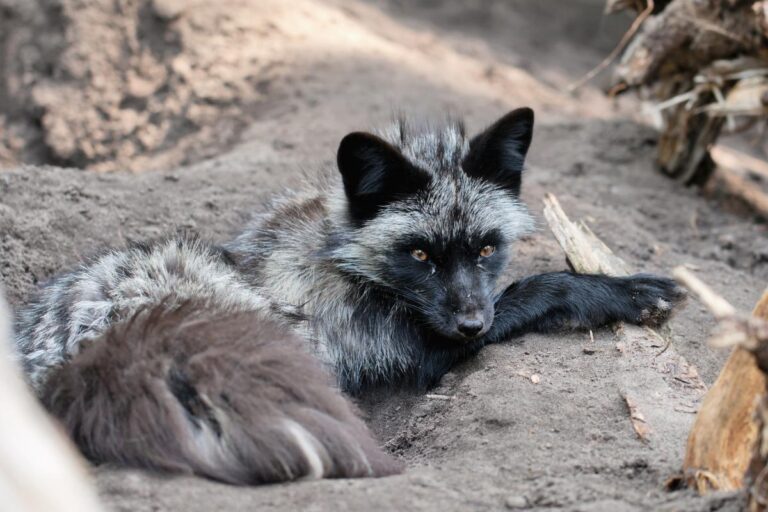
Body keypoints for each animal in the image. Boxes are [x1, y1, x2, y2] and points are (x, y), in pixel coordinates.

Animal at [10, 107, 684, 484]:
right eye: (420, 255)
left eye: (487, 249)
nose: (471, 324)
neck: (343, 255)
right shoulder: (411, 347)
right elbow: (540, 286)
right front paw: (625, 291)